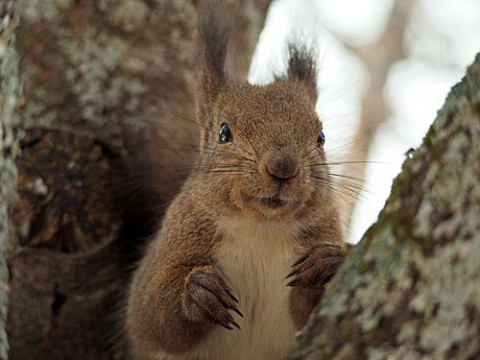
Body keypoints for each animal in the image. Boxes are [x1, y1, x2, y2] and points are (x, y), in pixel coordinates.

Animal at [125, 1, 346, 358]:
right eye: (224, 133)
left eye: (321, 138)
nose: (283, 167)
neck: (262, 227)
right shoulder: (171, 248)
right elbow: (151, 315)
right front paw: (198, 292)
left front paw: (327, 264)